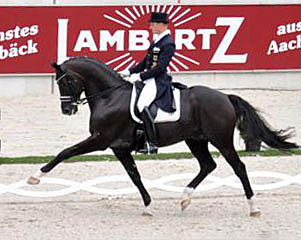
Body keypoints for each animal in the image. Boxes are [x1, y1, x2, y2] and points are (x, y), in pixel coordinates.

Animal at [28, 57, 298, 217]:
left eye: (67, 82)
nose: (67, 109)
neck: (109, 96)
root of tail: (225, 97)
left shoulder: (101, 140)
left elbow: (66, 152)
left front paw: (35, 177)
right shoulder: (119, 147)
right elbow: (134, 176)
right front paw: (148, 205)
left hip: (220, 140)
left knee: (238, 167)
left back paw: (253, 208)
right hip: (195, 139)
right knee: (207, 165)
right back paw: (184, 199)